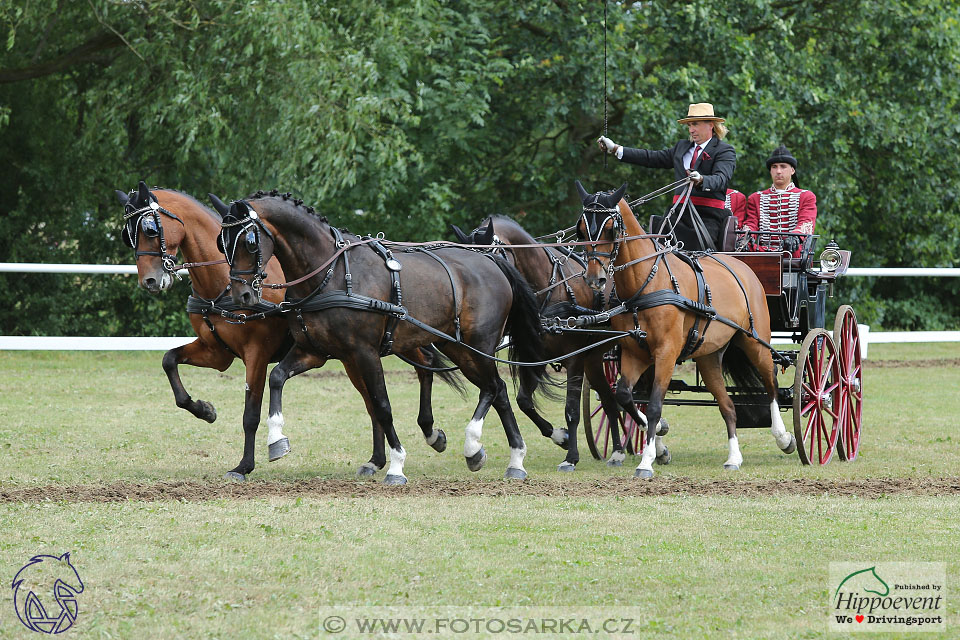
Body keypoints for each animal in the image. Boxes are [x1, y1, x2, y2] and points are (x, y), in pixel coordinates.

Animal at [116, 182, 446, 478]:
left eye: (150, 229)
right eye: (128, 235)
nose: (149, 281)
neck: (222, 285)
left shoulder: (257, 354)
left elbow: (251, 413)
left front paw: (244, 466)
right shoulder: (216, 352)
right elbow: (169, 361)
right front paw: (204, 410)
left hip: (392, 343)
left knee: (423, 367)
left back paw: (429, 433)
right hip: (354, 357)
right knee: (373, 400)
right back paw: (377, 461)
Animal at [217, 195, 548, 484]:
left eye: (250, 242)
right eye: (223, 243)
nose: (242, 295)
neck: (331, 273)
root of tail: (491, 261)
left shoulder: (365, 352)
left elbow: (383, 405)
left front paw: (396, 465)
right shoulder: (314, 351)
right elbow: (276, 377)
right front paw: (276, 440)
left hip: (478, 346)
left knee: (493, 387)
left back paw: (480, 447)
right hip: (455, 345)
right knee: (498, 390)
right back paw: (507, 458)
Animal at [452, 215, 672, 470]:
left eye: (492, 259)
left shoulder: (574, 360)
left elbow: (571, 410)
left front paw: (571, 457)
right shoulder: (534, 357)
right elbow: (524, 402)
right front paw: (561, 437)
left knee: (645, 397)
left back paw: (657, 442)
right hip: (594, 360)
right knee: (610, 400)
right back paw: (618, 451)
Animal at [576, 180, 796, 476]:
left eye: (612, 229)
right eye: (581, 229)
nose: (594, 278)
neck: (647, 282)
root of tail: (742, 265)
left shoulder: (666, 353)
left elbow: (654, 405)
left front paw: (647, 461)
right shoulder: (634, 353)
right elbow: (624, 395)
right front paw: (659, 441)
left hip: (755, 342)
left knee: (771, 381)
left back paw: (783, 437)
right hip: (709, 356)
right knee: (728, 406)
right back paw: (734, 457)